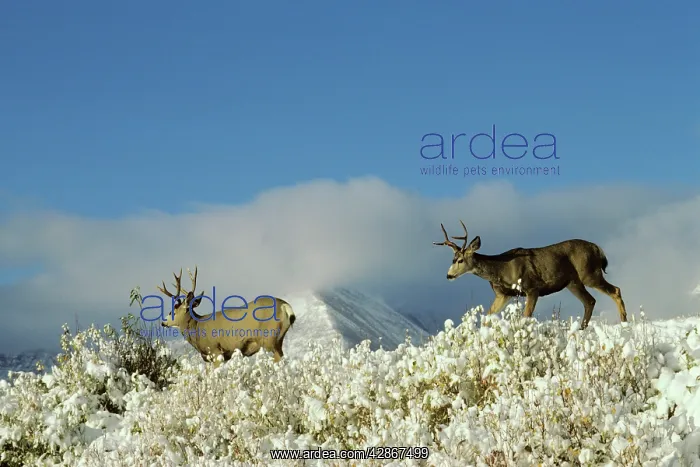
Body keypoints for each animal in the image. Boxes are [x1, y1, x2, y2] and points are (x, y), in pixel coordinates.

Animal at [156, 266, 296, 365]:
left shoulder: (215, 351)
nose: (163, 322)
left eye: (172, 312)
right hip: (278, 339)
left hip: (269, 339)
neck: (197, 327)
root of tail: (285, 306)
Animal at [433, 220, 627, 330]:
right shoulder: (503, 295)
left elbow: (526, 317)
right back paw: (581, 330)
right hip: (573, 283)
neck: (501, 269)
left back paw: (624, 323)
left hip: (589, 273)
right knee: (590, 301)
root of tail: (598, 249)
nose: (448, 276)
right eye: (452, 259)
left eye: (460, 260)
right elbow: (487, 318)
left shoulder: (532, 288)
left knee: (615, 290)